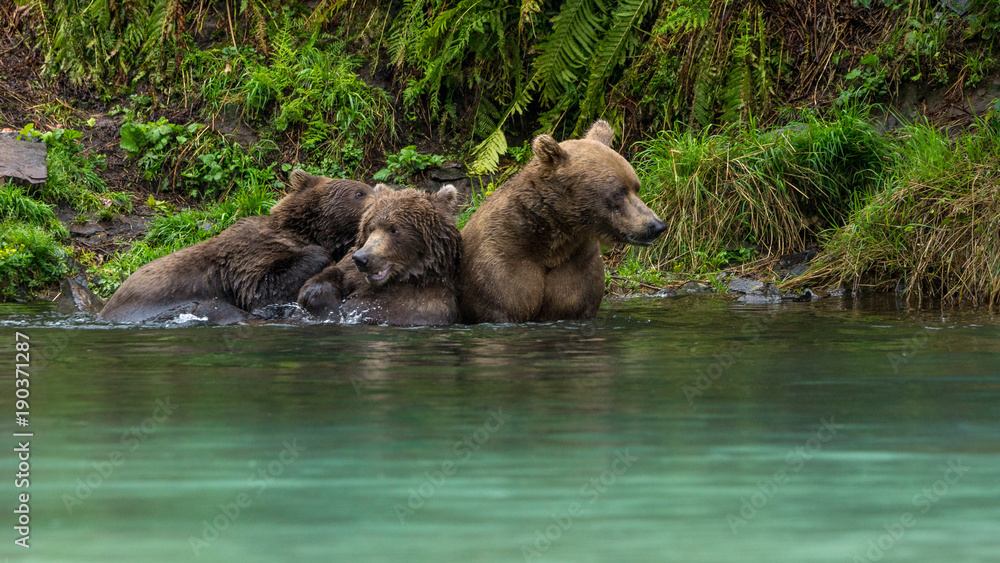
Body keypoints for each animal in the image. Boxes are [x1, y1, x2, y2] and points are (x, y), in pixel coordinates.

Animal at [99, 170, 375, 324]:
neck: (302, 231)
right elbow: (261, 288)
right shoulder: (247, 254)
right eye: (359, 192)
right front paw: (318, 255)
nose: (378, 193)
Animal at [296, 184, 461, 326]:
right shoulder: (350, 272)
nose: (361, 258)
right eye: (371, 227)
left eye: (394, 229)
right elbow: (324, 279)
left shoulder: (418, 307)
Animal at [458, 120, 667, 323]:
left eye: (636, 187)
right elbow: (504, 300)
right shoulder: (503, 258)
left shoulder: (578, 261)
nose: (656, 225)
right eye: (618, 193)